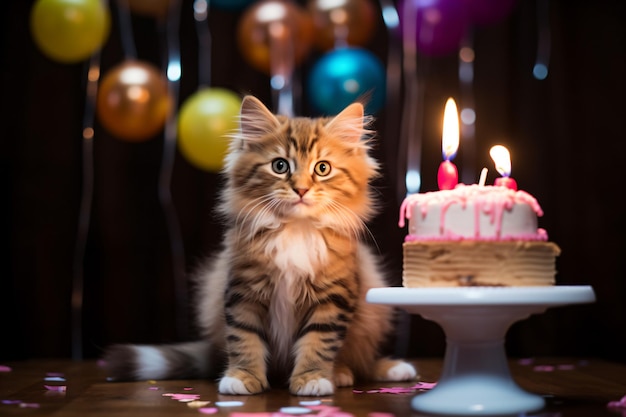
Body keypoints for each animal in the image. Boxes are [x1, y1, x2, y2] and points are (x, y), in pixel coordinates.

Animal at [101, 96, 414, 394]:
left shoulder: (333, 296)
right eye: (280, 166)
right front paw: (242, 377)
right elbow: (244, 338)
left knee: (364, 361)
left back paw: (363, 371)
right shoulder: (244, 290)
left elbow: (319, 342)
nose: (301, 189)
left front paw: (312, 379)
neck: (295, 230)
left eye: (322, 168)